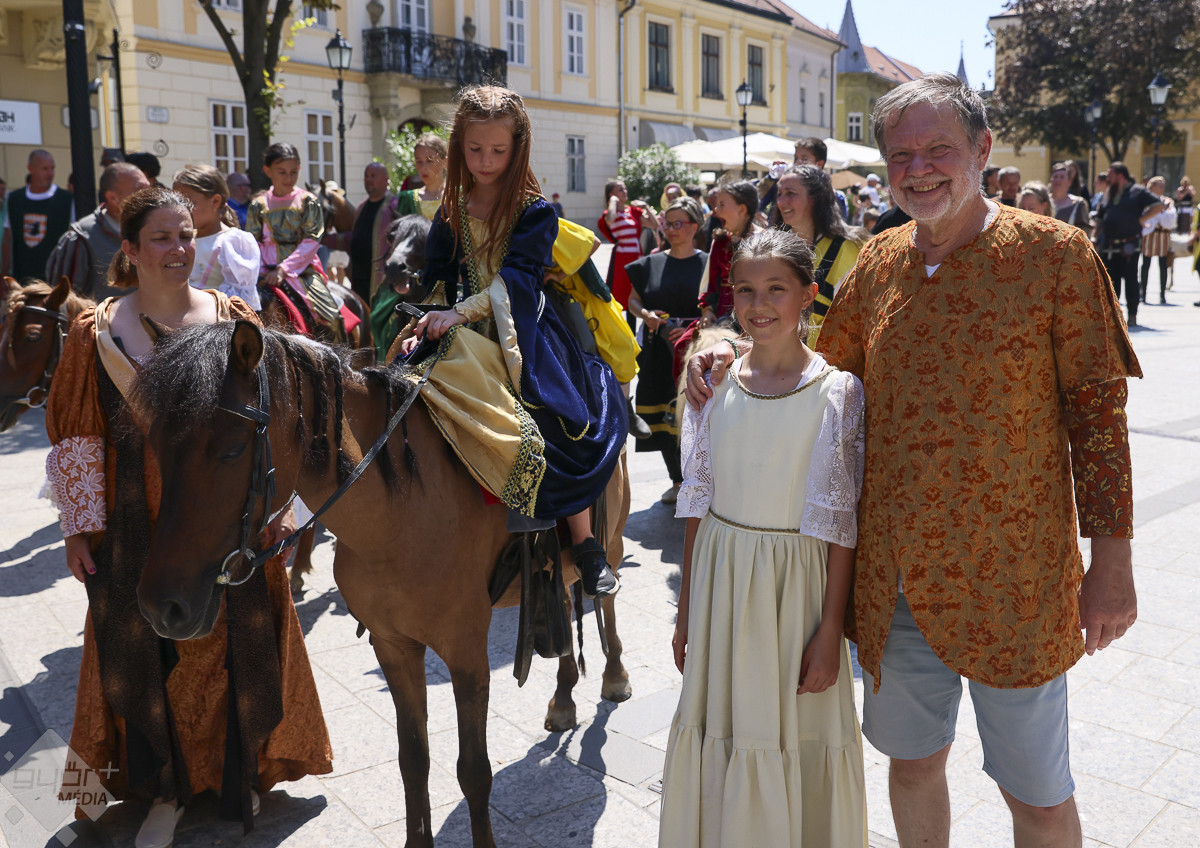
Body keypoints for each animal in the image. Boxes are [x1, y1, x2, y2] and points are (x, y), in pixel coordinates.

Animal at [130, 321, 632, 848]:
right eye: (157, 447)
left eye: (230, 449)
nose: (161, 606)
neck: (399, 515)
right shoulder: (393, 646)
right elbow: (413, 760)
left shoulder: (467, 652)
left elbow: (474, 771)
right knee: (566, 603)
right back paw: (564, 697)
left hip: (613, 539)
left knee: (605, 598)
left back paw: (614, 672)